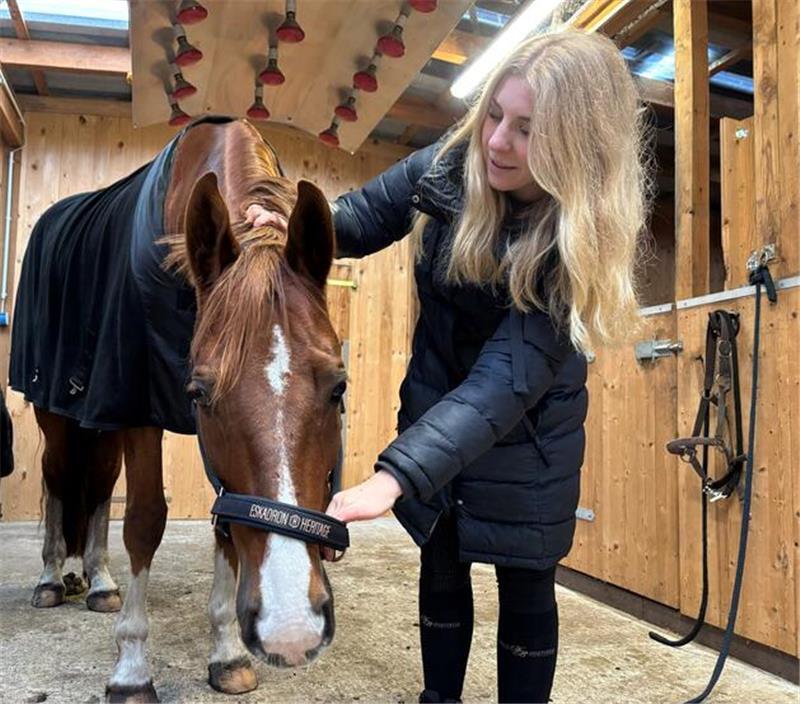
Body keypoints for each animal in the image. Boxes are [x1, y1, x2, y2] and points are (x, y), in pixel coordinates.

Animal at [8, 117, 347, 701]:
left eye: (338, 387)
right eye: (200, 394)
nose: (291, 630)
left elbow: (226, 525)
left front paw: (227, 654)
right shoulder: (137, 405)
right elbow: (144, 521)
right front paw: (131, 669)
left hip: (100, 424)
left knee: (98, 488)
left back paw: (98, 581)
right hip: (59, 416)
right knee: (57, 482)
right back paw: (52, 578)